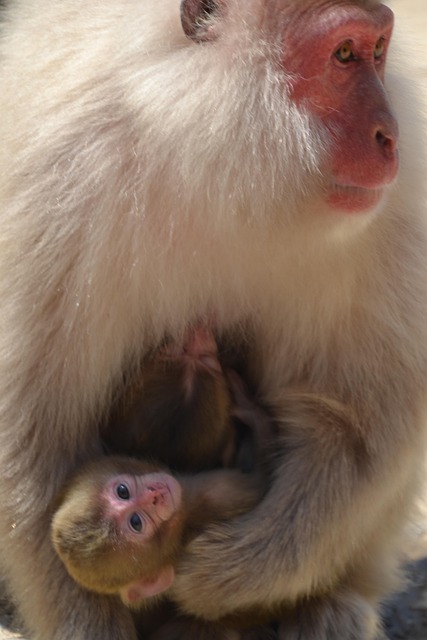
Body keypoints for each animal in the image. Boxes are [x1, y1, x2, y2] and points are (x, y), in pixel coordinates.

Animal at [0, 1, 426, 639]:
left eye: (377, 52)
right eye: (344, 54)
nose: (390, 137)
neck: (213, 159)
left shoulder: (391, 213)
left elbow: (356, 421)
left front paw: (230, 572)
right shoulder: (57, 193)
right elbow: (34, 446)